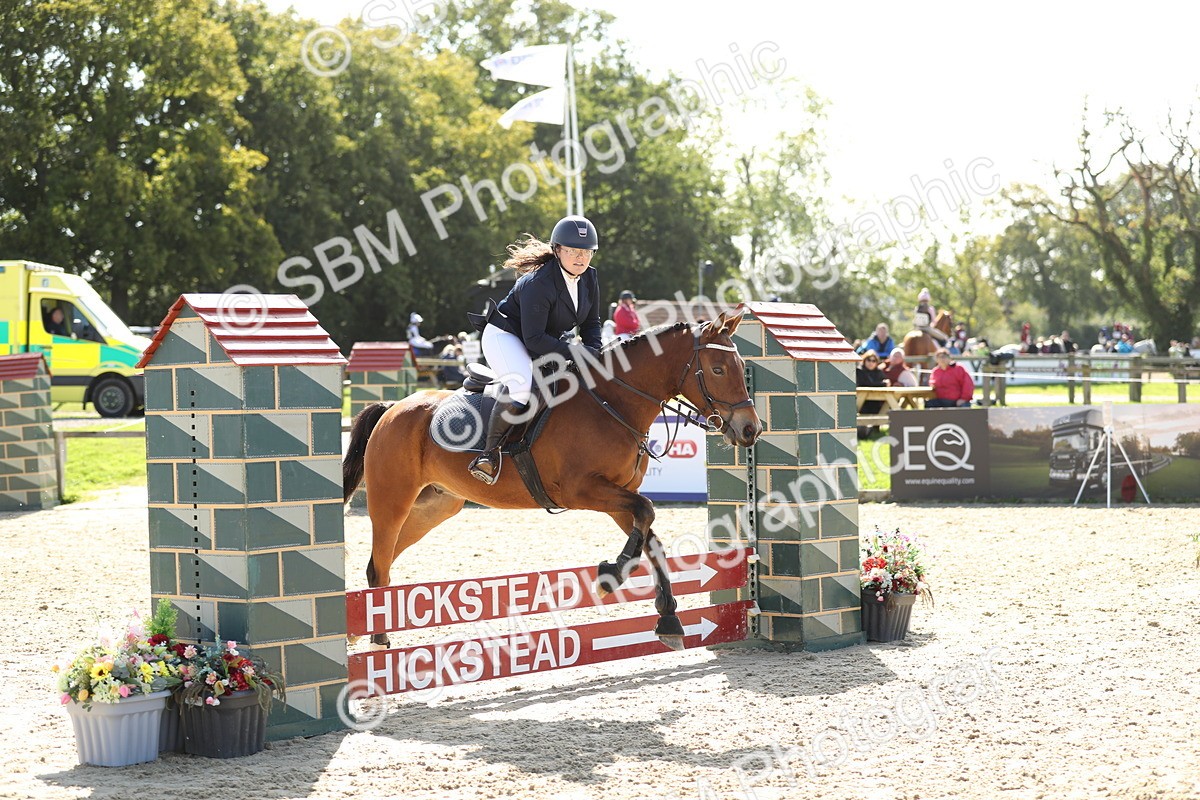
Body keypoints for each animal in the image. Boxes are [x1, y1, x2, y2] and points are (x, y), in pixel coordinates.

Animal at [342, 310, 763, 649]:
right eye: (718, 369)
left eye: (742, 366)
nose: (751, 430)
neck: (613, 402)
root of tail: (392, 408)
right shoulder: (583, 490)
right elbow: (646, 515)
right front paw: (610, 576)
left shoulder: (618, 495)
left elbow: (649, 534)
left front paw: (669, 620)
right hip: (392, 501)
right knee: (379, 562)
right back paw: (378, 638)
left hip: (434, 507)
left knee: (382, 563)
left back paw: (363, 631)